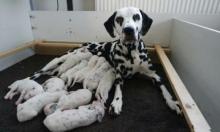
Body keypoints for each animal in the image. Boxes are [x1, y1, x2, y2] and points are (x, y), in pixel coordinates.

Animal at [31, 6, 181, 115]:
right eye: (119, 19)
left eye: (136, 17)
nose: (129, 30)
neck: (131, 53)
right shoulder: (119, 76)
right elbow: (118, 90)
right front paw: (116, 103)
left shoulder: (155, 75)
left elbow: (165, 88)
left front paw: (172, 102)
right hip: (59, 59)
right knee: (38, 72)